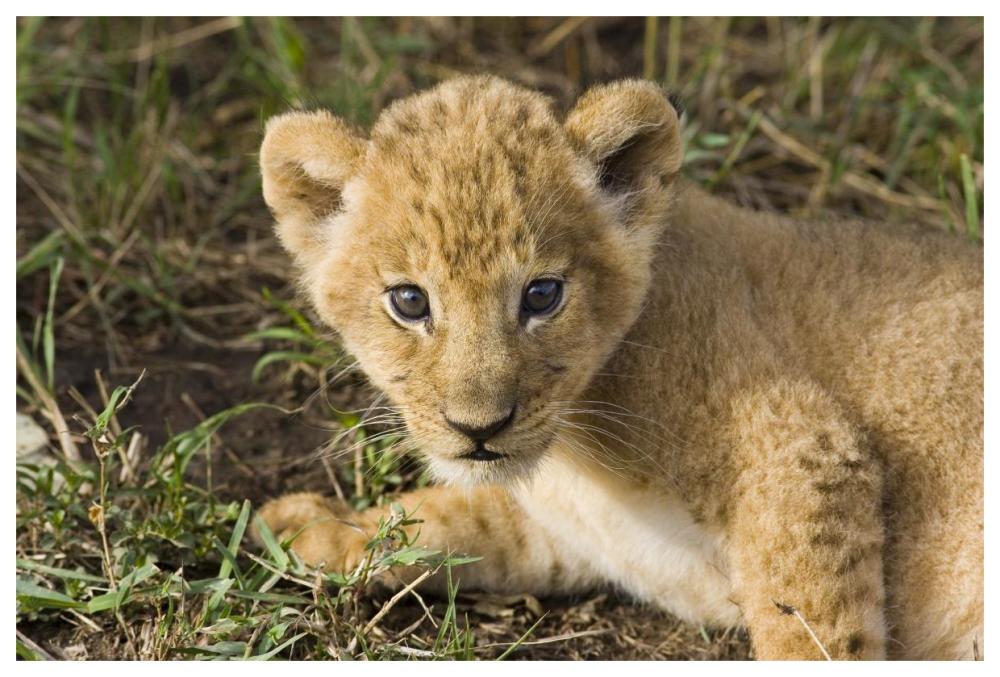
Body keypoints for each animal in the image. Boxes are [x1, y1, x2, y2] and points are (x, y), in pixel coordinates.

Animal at [255, 76, 983, 660]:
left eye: (542, 295)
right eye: (409, 302)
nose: (479, 428)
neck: (576, 451)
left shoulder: (805, 445)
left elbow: (810, 627)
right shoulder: (572, 532)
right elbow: (456, 518)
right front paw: (315, 528)